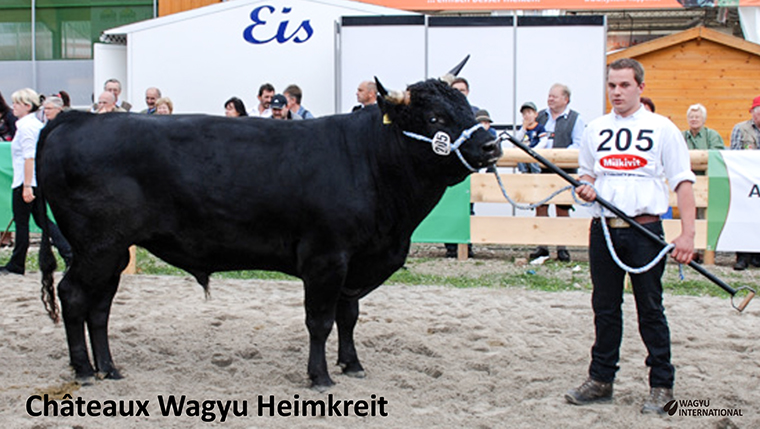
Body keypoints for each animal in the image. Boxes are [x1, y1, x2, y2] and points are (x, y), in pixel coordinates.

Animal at [35, 77, 502, 388]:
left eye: (468, 105)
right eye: (435, 116)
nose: (492, 145)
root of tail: (73, 120)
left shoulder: (355, 264)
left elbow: (348, 316)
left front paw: (352, 364)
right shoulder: (326, 258)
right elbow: (320, 320)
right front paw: (320, 376)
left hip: (111, 251)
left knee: (99, 307)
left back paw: (109, 368)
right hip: (96, 246)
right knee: (73, 296)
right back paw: (83, 370)